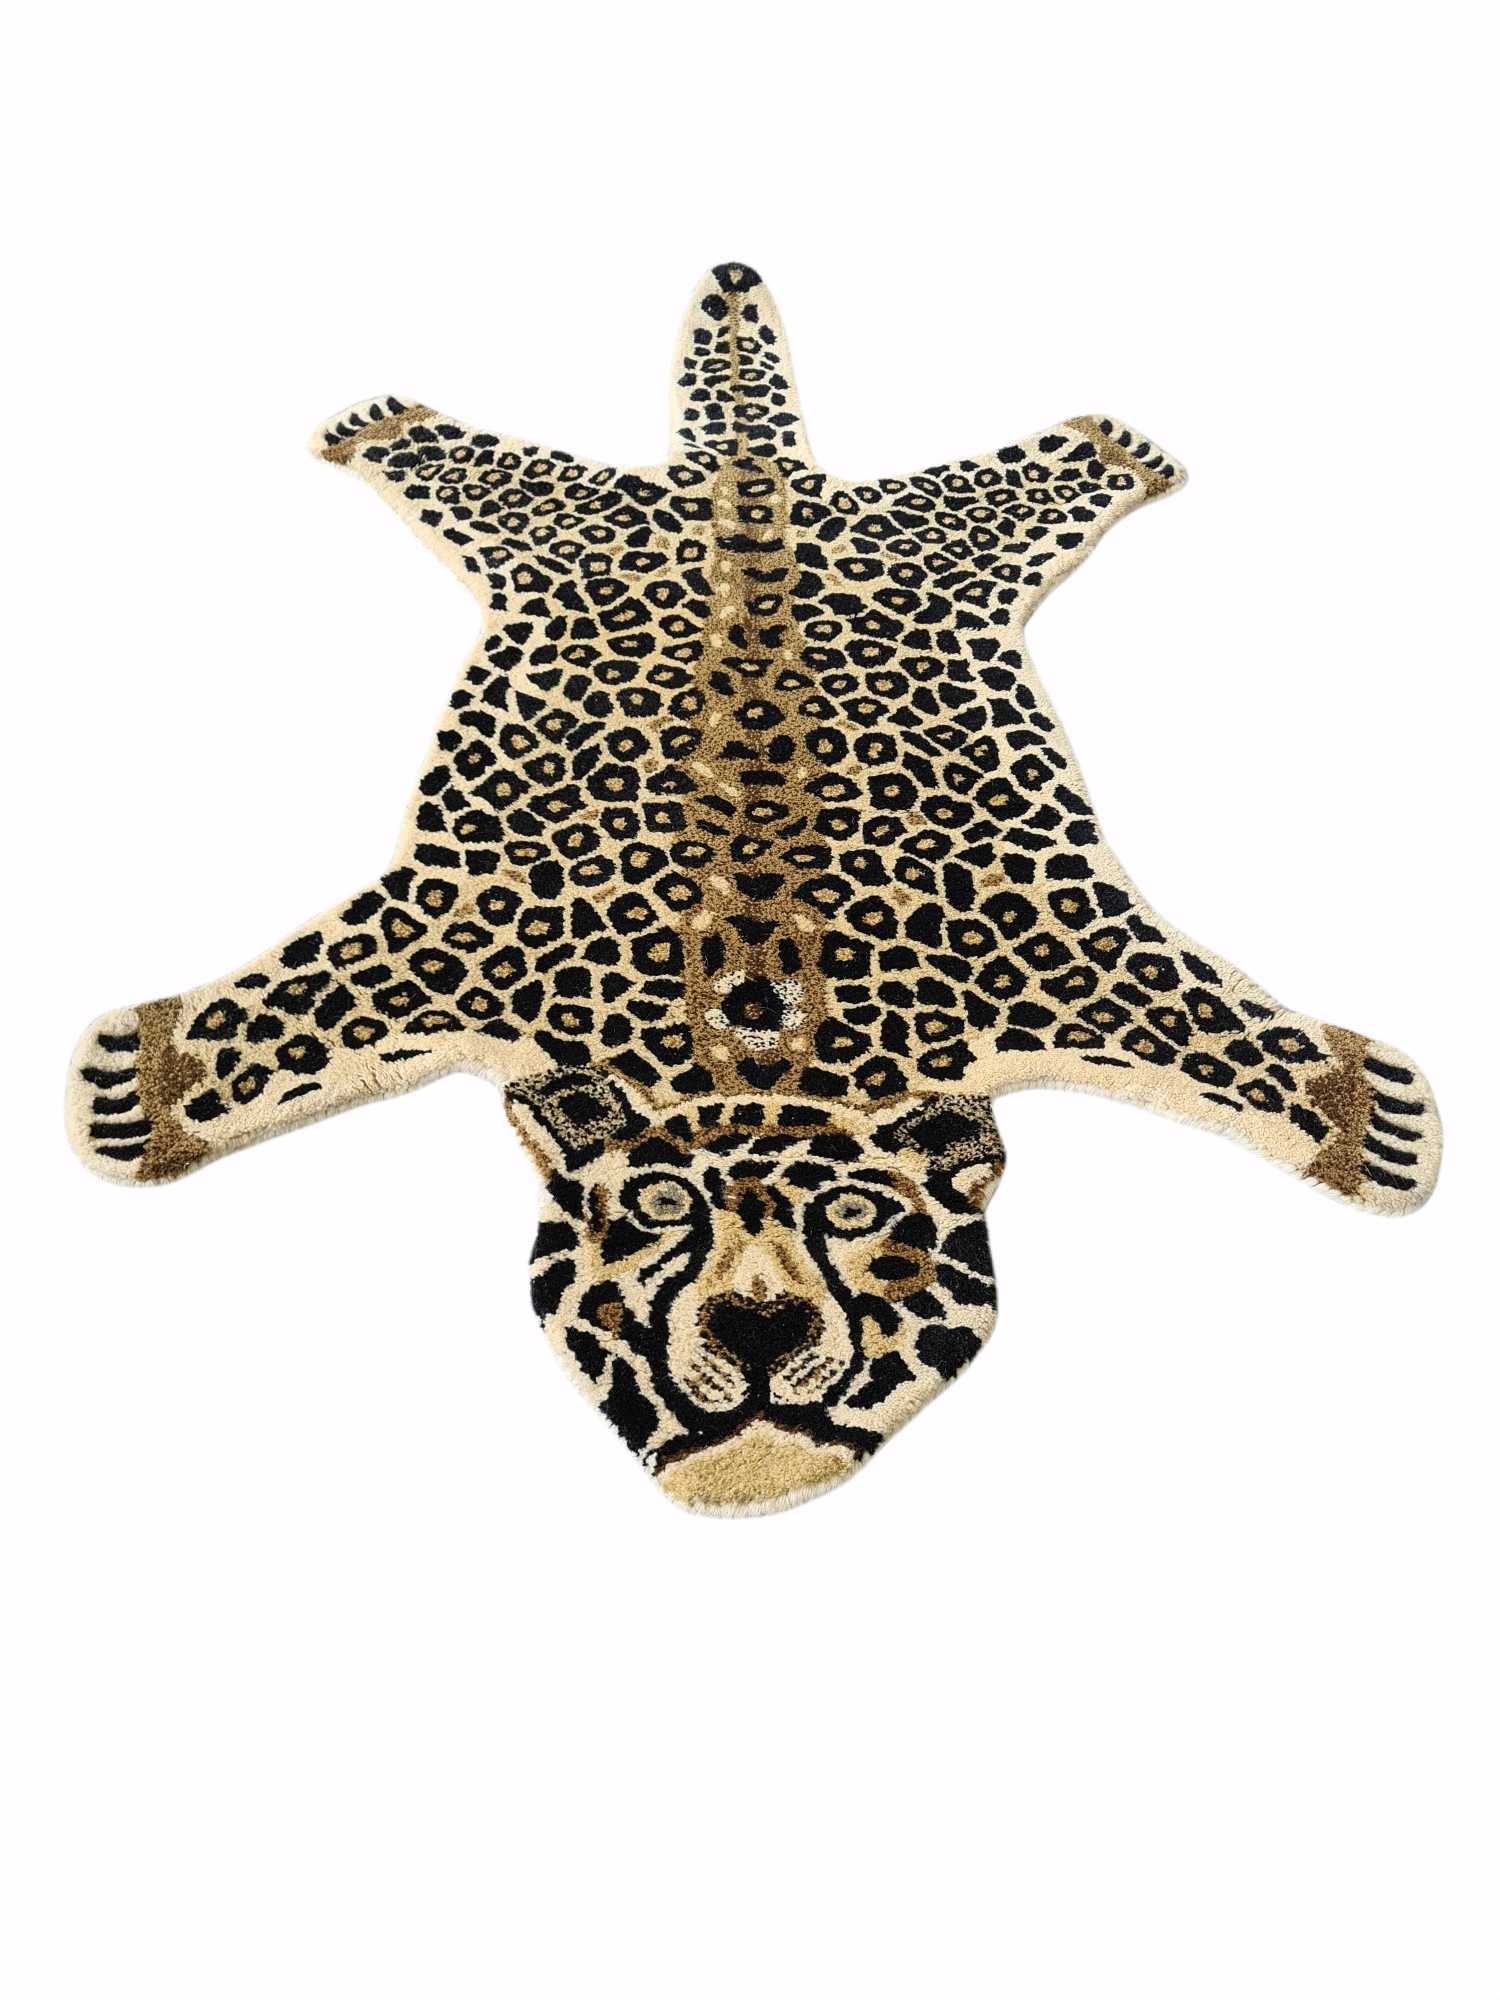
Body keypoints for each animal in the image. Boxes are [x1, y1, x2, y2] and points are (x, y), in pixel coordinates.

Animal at [68, 261, 1441, 1512]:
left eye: (858, 1215)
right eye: (658, 1205)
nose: (761, 1327)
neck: (758, 1050)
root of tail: (743, 475)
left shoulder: (1071, 955)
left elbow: (1224, 1040)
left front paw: (1374, 1109)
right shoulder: (451, 932)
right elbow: (290, 1016)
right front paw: (138, 1081)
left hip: (944, 541)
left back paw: (1113, 444)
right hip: (548, 525)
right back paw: (385, 421)